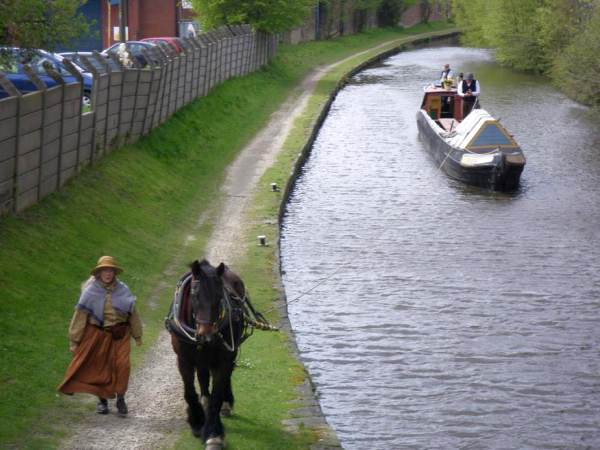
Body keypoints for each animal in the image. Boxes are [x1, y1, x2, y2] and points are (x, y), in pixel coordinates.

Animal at [165, 260, 247, 446]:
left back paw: (226, 402)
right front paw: (196, 421)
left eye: (219, 297)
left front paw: (213, 432)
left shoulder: (224, 359)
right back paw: (204, 400)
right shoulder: (184, 359)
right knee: (202, 376)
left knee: (225, 376)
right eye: (195, 296)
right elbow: (189, 391)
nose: (207, 336)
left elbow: (216, 396)